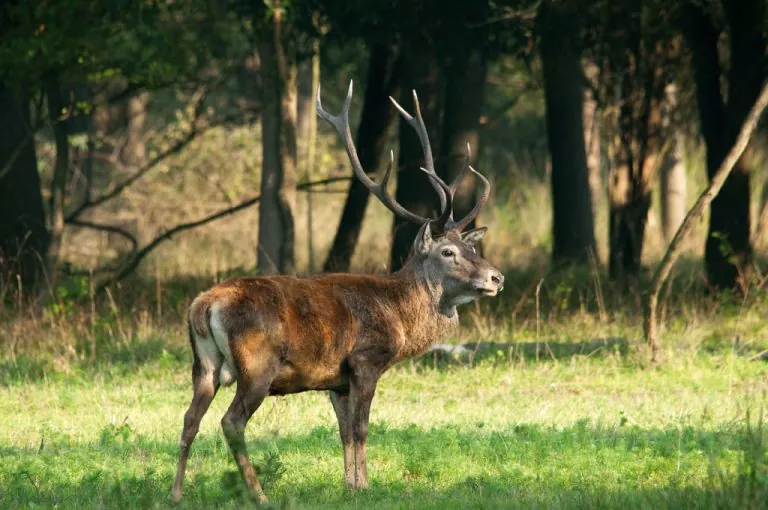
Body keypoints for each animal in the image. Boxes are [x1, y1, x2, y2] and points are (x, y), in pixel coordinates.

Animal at [170, 80, 505, 504]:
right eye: (448, 252)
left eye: (470, 248)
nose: (496, 278)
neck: (400, 316)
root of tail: (204, 306)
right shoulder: (365, 359)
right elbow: (362, 429)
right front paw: (365, 486)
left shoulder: (336, 380)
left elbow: (344, 432)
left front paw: (350, 485)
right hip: (257, 363)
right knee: (231, 421)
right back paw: (259, 494)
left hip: (203, 365)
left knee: (189, 418)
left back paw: (175, 493)